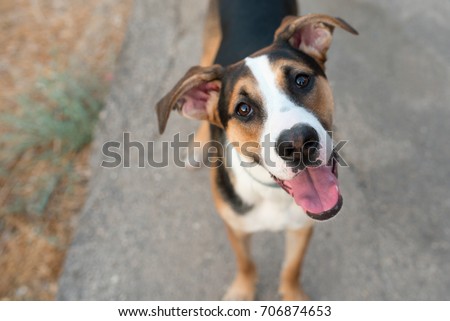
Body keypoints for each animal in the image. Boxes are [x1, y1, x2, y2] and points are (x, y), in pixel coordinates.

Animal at [156, 0, 356, 300]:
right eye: (243, 109)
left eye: (301, 80)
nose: (298, 143)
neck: (271, 192)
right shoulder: (236, 226)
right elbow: (246, 262)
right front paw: (242, 291)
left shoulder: (302, 226)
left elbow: (292, 268)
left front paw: (293, 295)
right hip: (207, 53)